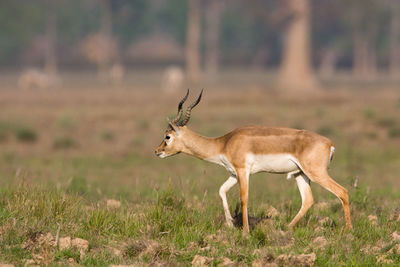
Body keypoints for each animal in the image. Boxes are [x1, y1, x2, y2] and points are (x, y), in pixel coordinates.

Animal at [155, 89, 352, 233]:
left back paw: (348, 231)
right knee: (308, 200)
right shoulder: (234, 173)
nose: (157, 151)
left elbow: (244, 199)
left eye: (167, 136)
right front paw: (230, 224)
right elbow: (221, 191)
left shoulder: (243, 171)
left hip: (316, 173)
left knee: (342, 191)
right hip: (300, 174)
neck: (224, 143)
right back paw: (286, 228)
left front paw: (245, 232)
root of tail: (330, 143)